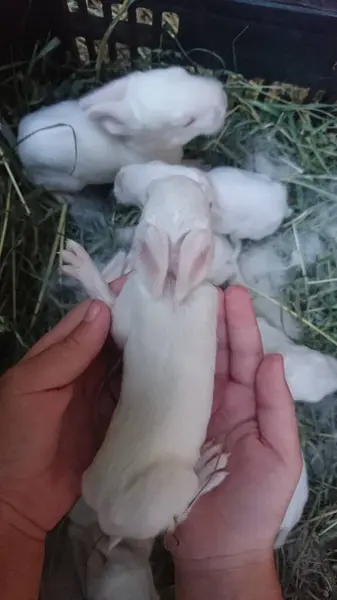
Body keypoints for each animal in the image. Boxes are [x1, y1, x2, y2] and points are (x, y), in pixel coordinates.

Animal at [16, 67, 226, 192]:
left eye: (182, 72)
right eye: (188, 122)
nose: (222, 98)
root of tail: (19, 143)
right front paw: (199, 164)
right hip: (68, 182)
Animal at [61, 173, 228, 540]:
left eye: (210, 203)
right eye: (152, 194)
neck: (170, 284)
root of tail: (110, 522)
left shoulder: (126, 318)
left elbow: (111, 313)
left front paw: (80, 263)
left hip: (174, 486)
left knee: (177, 517)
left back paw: (210, 467)